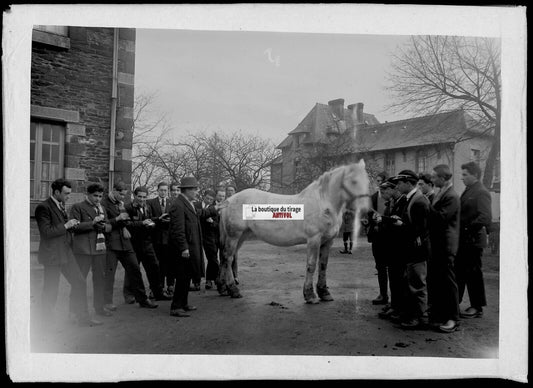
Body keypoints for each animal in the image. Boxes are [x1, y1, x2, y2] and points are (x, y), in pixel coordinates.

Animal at [214, 159, 368, 304]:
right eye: (354, 181)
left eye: (367, 180)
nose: (366, 214)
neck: (323, 202)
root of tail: (228, 201)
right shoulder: (314, 239)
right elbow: (311, 265)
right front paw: (310, 296)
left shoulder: (327, 241)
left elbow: (323, 266)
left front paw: (324, 293)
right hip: (234, 235)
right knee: (228, 258)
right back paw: (233, 290)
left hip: (241, 236)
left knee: (227, 258)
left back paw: (223, 289)